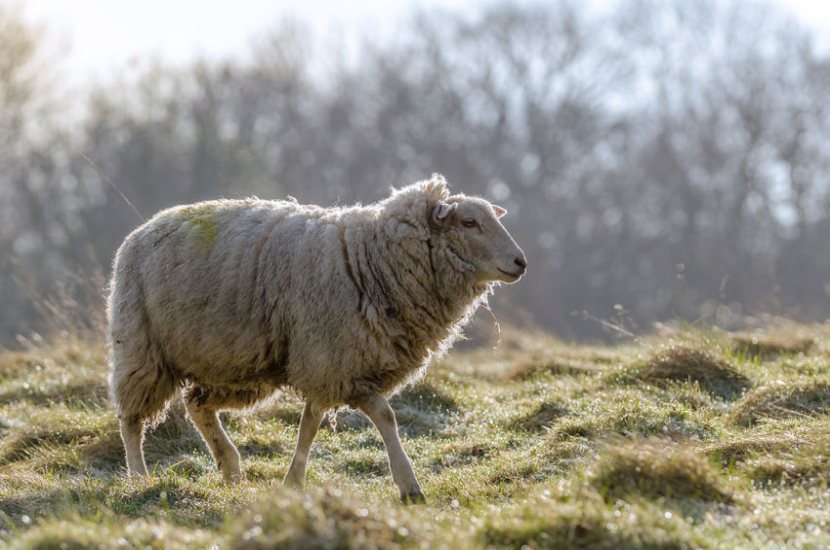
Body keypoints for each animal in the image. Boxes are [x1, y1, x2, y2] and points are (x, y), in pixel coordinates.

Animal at [109, 175, 528, 502]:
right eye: (469, 222)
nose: (521, 262)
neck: (371, 258)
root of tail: (142, 230)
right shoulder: (331, 360)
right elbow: (374, 417)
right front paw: (409, 487)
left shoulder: (344, 365)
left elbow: (321, 420)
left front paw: (294, 479)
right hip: (140, 347)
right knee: (131, 420)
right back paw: (139, 477)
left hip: (235, 363)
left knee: (197, 403)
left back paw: (230, 466)